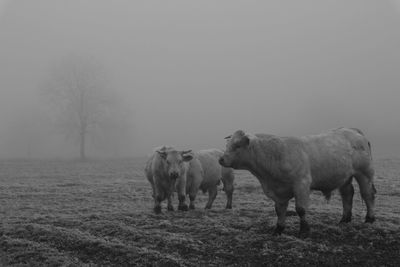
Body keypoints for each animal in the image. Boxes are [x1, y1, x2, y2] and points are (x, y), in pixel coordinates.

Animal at [217, 128, 376, 237]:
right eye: (227, 144)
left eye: (237, 145)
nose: (221, 159)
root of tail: (352, 131)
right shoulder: (278, 191)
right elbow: (280, 210)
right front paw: (278, 229)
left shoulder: (302, 184)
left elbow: (301, 209)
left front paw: (304, 230)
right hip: (345, 176)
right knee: (347, 194)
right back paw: (345, 219)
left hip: (364, 173)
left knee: (368, 194)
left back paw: (369, 218)